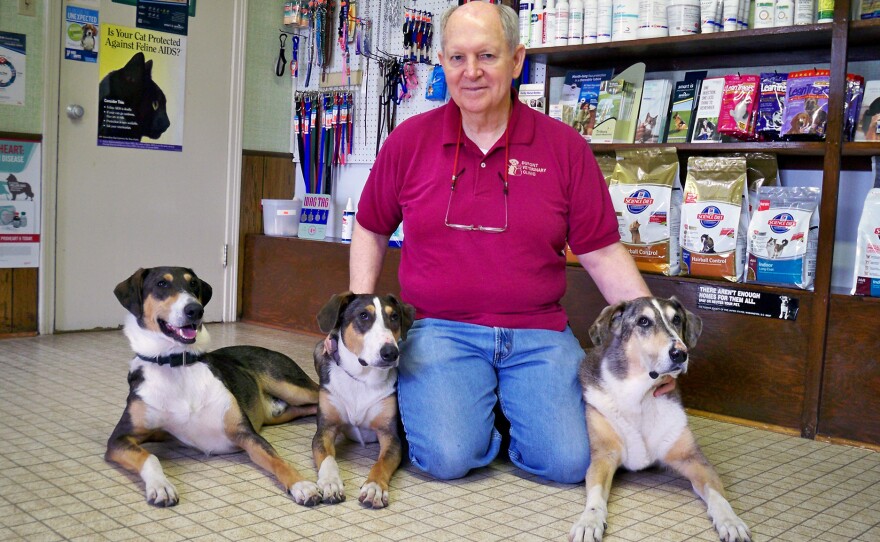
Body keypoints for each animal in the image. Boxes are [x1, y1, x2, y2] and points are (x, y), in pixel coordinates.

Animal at [105, 268, 322, 510]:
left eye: (194, 284)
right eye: (162, 284)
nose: (195, 310)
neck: (178, 365)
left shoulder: (244, 433)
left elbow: (277, 459)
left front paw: (302, 485)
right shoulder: (120, 438)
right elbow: (149, 457)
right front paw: (161, 487)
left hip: (291, 387)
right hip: (282, 413)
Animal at [292, 294, 412, 510]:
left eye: (394, 317)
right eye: (363, 315)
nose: (391, 353)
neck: (362, 379)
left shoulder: (390, 435)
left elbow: (382, 463)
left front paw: (374, 488)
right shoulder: (326, 428)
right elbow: (327, 457)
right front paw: (330, 483)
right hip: (319, 348)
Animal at [572, 298, 748, 542]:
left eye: (677, 319)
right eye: (643, 321)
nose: (680, 353)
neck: (639, 396)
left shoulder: (692, 458)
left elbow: (717, 494)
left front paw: (731, 521)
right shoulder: (603, 456)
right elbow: (596, 494)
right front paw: (589, 521)